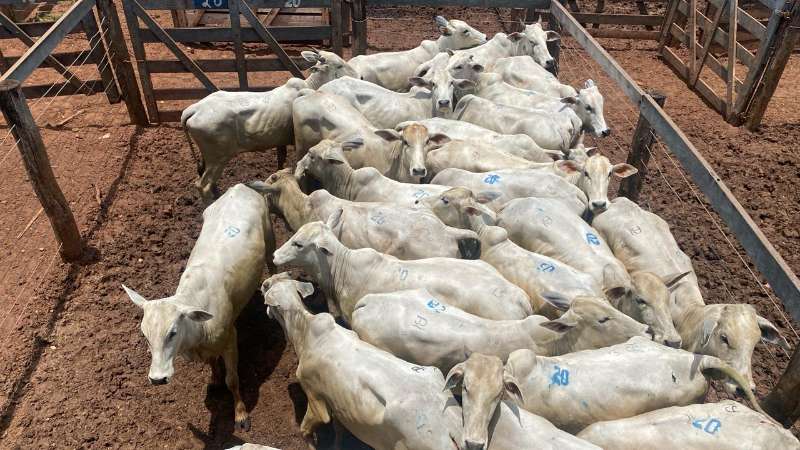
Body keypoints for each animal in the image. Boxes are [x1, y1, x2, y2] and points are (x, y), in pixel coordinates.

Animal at [121, 184, 274, 431]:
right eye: (144, 335)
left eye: (172, 332)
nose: (157, 379)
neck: (196, 336)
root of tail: (240, 187)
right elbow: (213, 365)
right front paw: (214, 379)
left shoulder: (230, 337)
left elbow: (232, 380)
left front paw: (241, 415)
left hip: (270, 236)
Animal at [182, 50, 357, 204]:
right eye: (339, 65)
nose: (357, 76)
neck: (309, 86)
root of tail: (194, 109)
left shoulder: (281, 140)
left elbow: (281, 159)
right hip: (218, 157)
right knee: (203, 185)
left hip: (209, 157)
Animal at [260, 273, 464, 449]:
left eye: (265, 286)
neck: (304, 331)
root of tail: (451, 430)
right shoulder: (335, 402)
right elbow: (338, 428)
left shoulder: (315, 397)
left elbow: (306, 430)